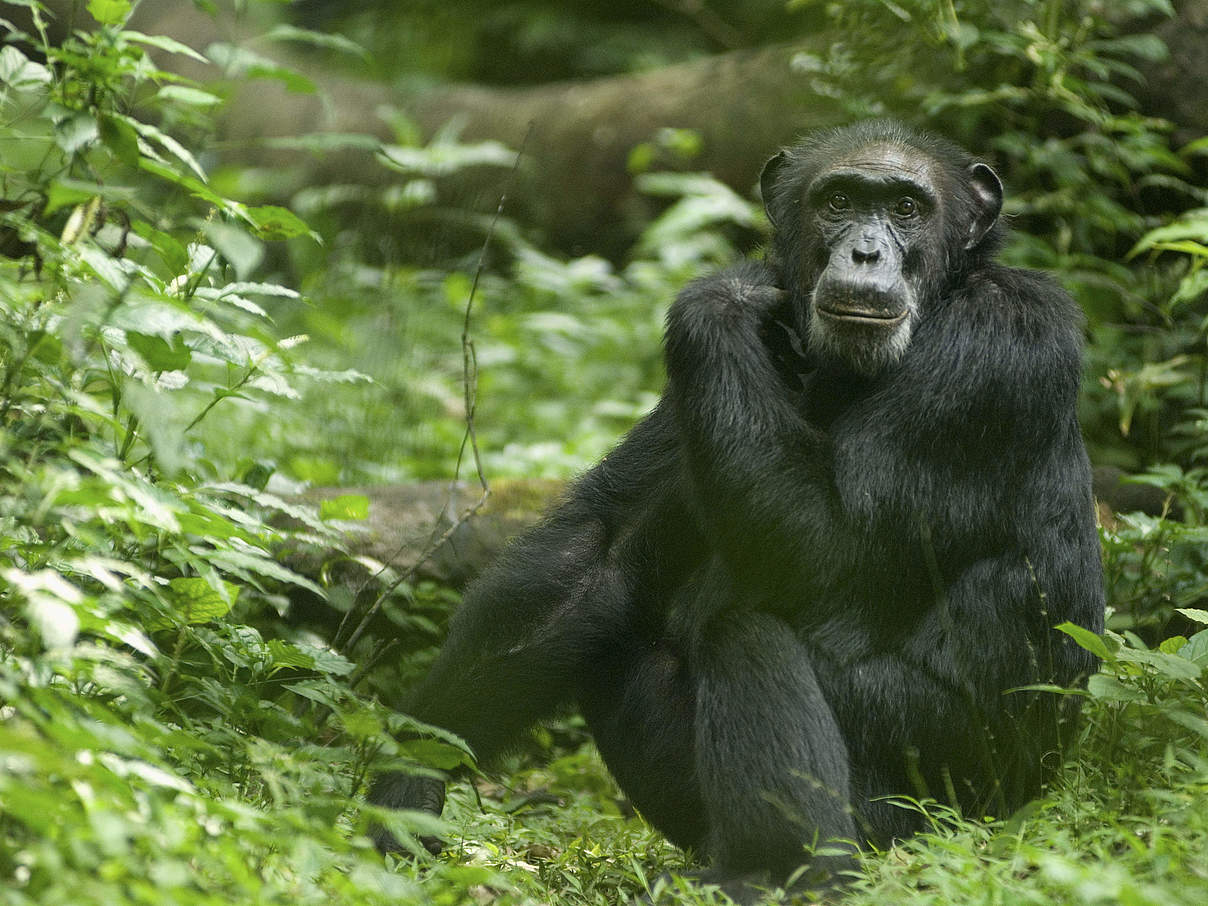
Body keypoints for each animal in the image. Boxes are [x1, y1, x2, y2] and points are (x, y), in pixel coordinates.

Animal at [364, 122, 1106, 903]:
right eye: (839, 201)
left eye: (907, 208)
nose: (865, 251)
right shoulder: (702, 388)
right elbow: (595, 558)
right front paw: (409, 783)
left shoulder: (1003, 343)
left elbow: (834, 551)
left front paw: (723, 296)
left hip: (931, 802)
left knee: (745, 633)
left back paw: (775, 872)